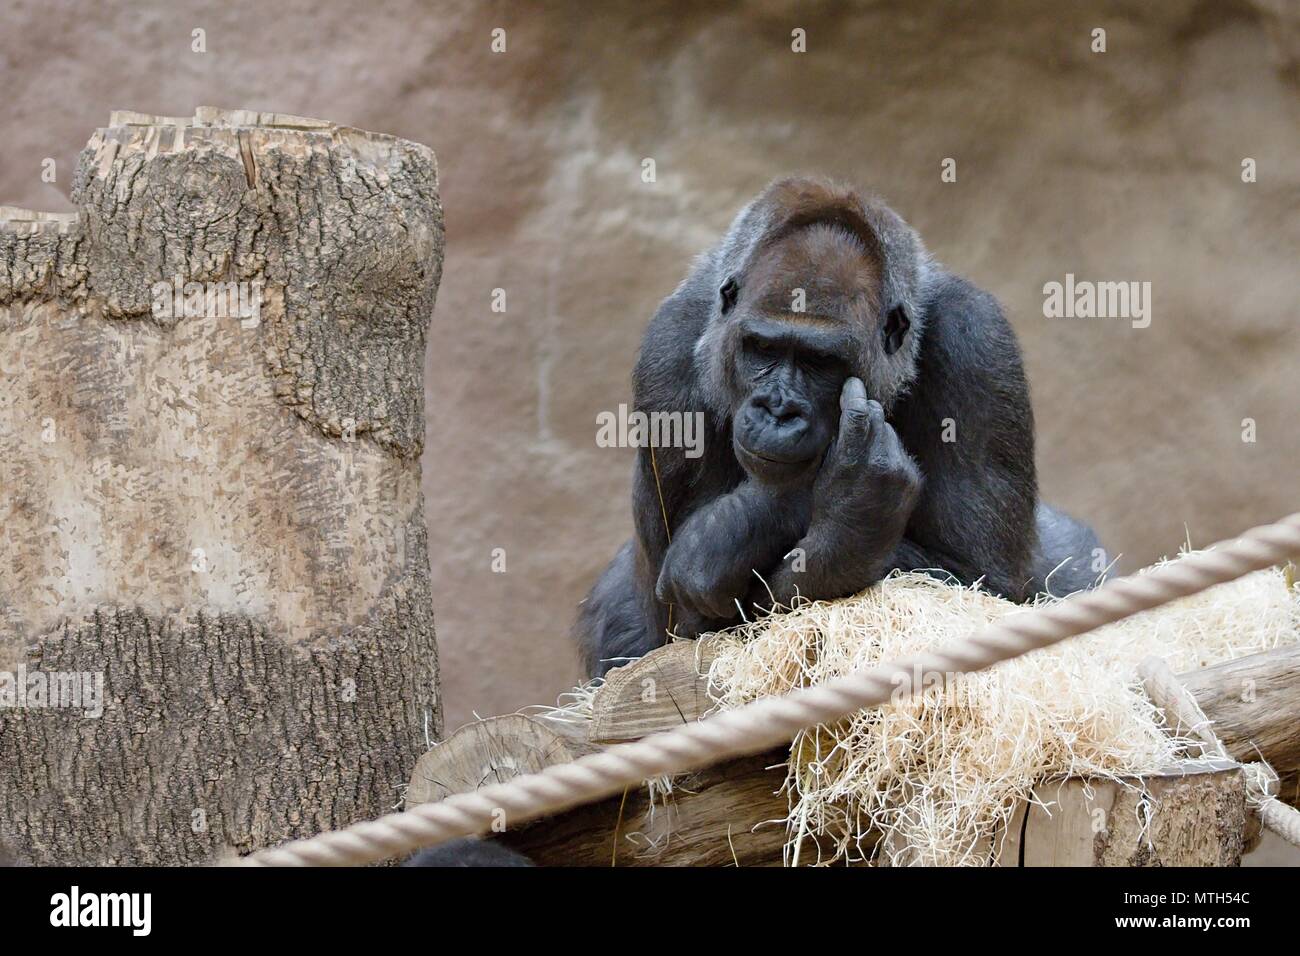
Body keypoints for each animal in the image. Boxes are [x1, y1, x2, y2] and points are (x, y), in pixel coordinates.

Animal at [574, 175, 1102, 676]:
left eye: (820, 361)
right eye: (762, 348)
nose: (778, 409)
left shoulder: (979, 342)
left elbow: (982, 580)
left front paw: (844, 515)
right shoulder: (668, 350)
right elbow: (684, 627)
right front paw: (842, 503)